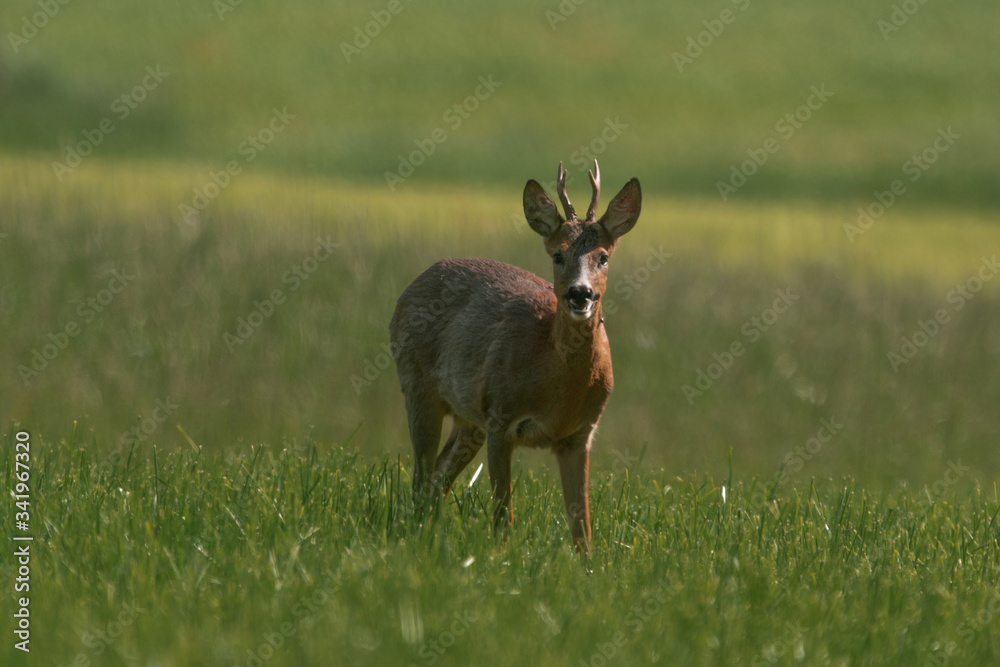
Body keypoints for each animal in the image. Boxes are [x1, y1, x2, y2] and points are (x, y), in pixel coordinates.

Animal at [389, 160, 641, 551]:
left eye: (603, 257)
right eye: (557, 255)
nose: (580, 294)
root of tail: (410, 288)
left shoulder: (579, 434)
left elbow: (581, 527)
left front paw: (588, 564)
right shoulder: (501, 416)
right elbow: (502, 512)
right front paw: (501, 557)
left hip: (468, 420)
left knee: (437, 477)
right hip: (418, 386)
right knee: (421, 476)